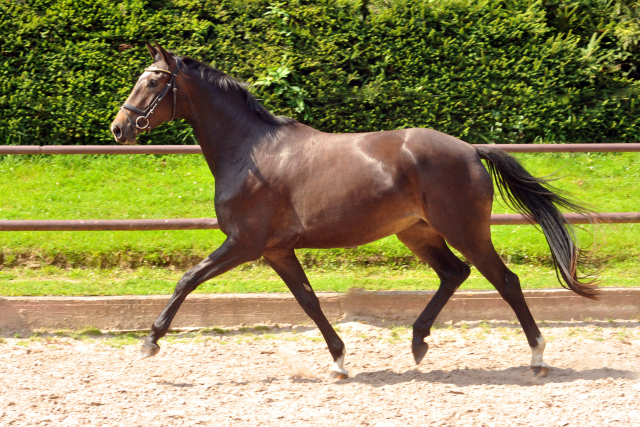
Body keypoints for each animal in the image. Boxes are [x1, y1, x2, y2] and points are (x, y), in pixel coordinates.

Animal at [111, 42, 600, 378]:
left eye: (153, 81)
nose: (119, 128)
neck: (250, 152)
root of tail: (470, 150)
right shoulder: (275, 251)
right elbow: (308, 301)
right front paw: (340, 361)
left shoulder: (244, 244)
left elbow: (187, 279)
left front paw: (150, 342)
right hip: (417, 232)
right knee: (453, 273)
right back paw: (418, 343)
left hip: (465, 231)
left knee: (505, 281)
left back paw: (537, 354)